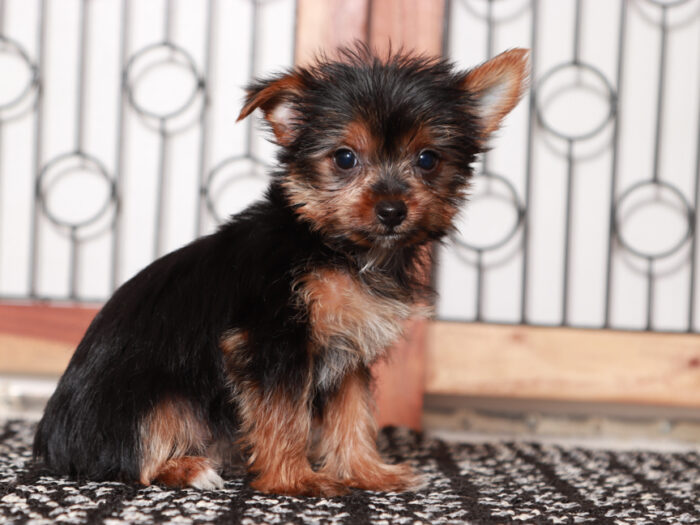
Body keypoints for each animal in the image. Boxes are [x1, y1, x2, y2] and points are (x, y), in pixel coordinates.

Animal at [31, 45, 524, 496]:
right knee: (134, 455)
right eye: (345, 158)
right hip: (155, 399)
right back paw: (189, 467)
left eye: (428, 159)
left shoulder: (349, 345)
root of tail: (49, 444)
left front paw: (367, 472)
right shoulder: (271, 341)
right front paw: (297, 479)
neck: (334, 245)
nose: (391, 210)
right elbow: (285, 414)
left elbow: (353, 411)